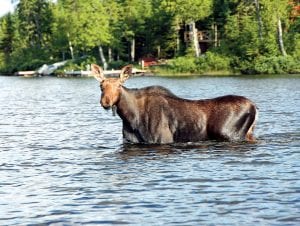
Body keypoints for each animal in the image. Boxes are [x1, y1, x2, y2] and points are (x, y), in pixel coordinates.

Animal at [92, 63, 258, 144]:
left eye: (119, 85)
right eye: (101, 86)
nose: (106, 101)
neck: (130, 118)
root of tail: (255, 107)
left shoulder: (163, 139)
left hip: (230, 134)